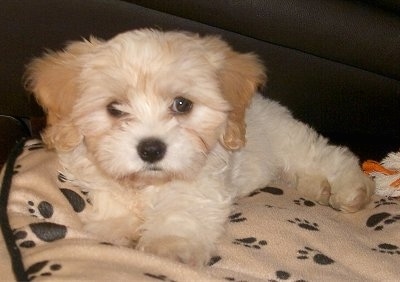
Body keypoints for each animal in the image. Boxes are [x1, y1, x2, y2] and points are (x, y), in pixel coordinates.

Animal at [25, 28, 376, 266]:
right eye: (114, 108)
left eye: (182, 104)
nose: (151, 149)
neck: (150, 184)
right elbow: (113, 199)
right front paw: (114, 230)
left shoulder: (201, 185)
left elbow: (182, 212)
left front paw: (168, 247)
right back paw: (320, 190)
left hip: (290, 142)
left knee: (329, 156)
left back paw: (351, 191)